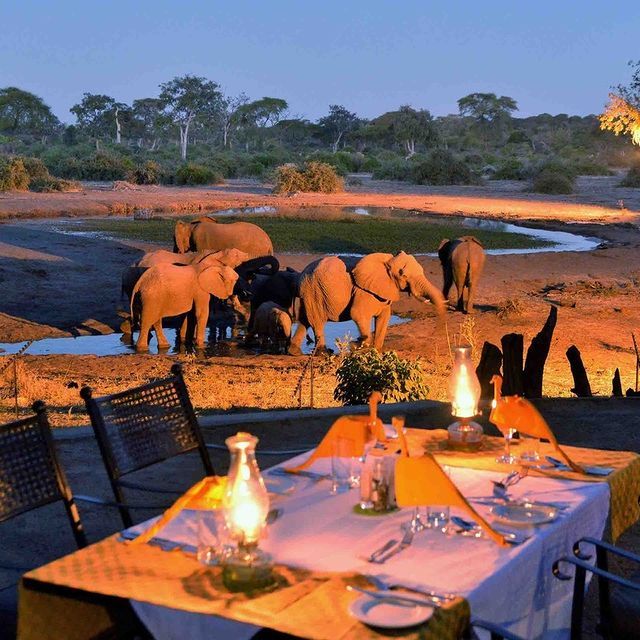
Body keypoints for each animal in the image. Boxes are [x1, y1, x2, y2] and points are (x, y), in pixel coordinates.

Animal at [289, 251, 445, 355]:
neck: (387, 262)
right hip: (314, 291)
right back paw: (324, 353)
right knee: (317, 322)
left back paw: (294, 351)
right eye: (404, 275)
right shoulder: (362, 291)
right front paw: (357, 345)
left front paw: (376, 350)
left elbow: (384, 317)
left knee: (304, 320)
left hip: (310, 293)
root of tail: (301, 276)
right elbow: (358, 314)